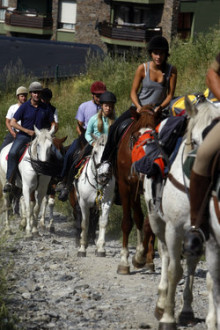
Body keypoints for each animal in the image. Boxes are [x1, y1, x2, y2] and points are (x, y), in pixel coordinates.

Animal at [115, 107, 160, 274]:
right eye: (135, 137)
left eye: (155, 135)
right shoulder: (125, 186)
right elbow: (127, 222)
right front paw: (124, 262)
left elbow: (150, 222)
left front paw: (140, 257)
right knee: (138, 217)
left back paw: (147, 259)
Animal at [144, 97, 220, 330]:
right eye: (192, 141)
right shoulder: (174, 229)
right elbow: (174, 270)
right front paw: (168, 317)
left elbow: (210, 277)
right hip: (156, 220)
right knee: (166, 255)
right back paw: (161, 303)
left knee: (192, 262)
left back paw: (186, 310)